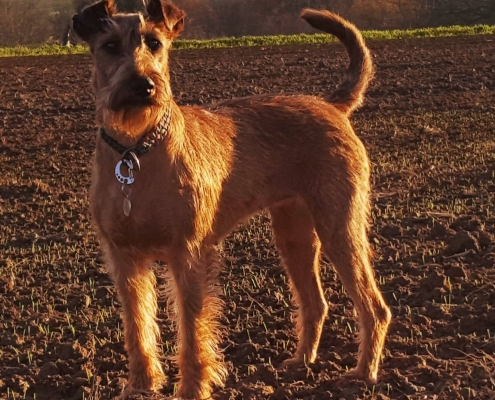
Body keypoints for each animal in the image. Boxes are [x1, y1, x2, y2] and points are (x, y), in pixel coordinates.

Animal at [72, 1, 392, 398]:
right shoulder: (124, 258)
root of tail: (331, 106)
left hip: (340, 228)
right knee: (315, 303)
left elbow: (193, 330)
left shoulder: (188, 252)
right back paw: (301, 362)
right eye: (110, 46)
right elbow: (137, 326)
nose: (143, 85)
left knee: (375, 307)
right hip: (293, 235)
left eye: (155, 43)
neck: (136, 150)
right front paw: (140, 385)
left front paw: (192, 389)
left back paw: (364, 374)